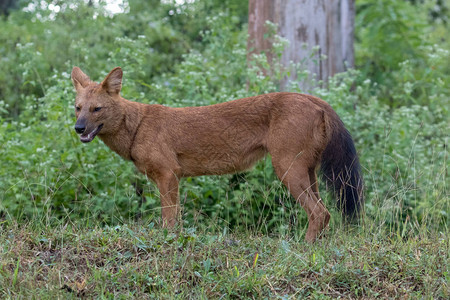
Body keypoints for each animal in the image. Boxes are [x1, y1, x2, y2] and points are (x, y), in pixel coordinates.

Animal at [72, 67, 364, 243]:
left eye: (97, 109)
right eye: (78, 108)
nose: (78, 128)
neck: (137, 126)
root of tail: (316, 99)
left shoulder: (168, 175)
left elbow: (169, 218)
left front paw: (168, 241)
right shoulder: (171, 178)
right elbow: (176, 217)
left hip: (287, 169)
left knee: (320, 212)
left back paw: (303, 247)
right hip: (308, 172)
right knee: (326, 213)